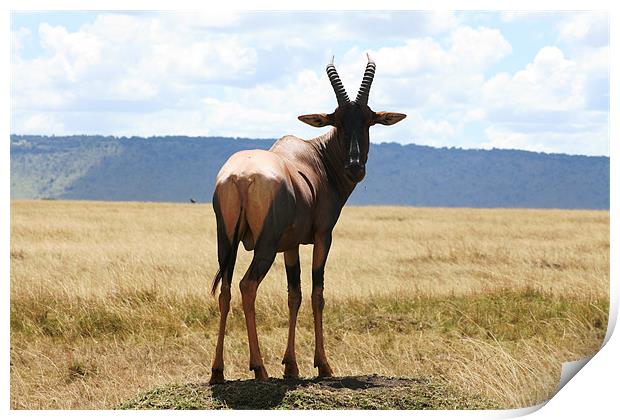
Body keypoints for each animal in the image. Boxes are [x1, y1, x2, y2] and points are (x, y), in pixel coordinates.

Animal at [208, 55, 404, 384]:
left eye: (368, 120)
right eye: (337, 121)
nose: (355, 167)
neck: (315, 157)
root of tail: (241, 177)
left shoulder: (290, 245)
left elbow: (294, 295)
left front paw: (291, 366)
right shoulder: (323, 236)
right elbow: (317, 293)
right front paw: (323, 365)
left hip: (226, 242)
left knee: (224, 291)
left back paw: (217, 371)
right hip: (264, 246)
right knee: (247, 286)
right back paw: (259, 368)